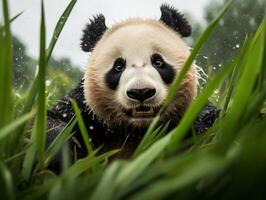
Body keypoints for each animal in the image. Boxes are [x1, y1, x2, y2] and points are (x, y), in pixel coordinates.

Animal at [46, 4, 219, 170]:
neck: (138, 129)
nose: (141, 92)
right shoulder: (86, 111)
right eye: (118, 66)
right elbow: (56, 121)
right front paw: (61, 151)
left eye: (158, 62)